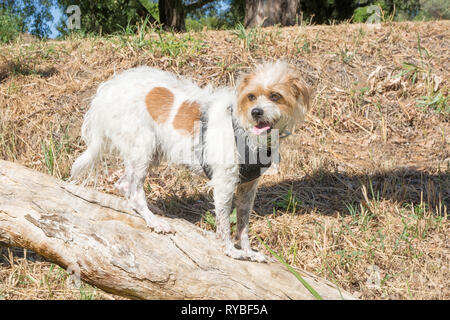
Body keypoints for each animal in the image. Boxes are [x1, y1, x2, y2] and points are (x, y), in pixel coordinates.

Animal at [71, 60, 310, 262]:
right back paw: (154, 221)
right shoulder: (224, 184)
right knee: (134, 192)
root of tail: (110, 88)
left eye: (275, 96)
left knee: (123, 185)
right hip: (142, 150)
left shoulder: (248, 187)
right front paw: (230, 250)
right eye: (251, 96)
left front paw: (249, 252)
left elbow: (243, 225)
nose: (256, 112)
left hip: (150, 153)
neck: (245, 130)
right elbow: (224, 222)